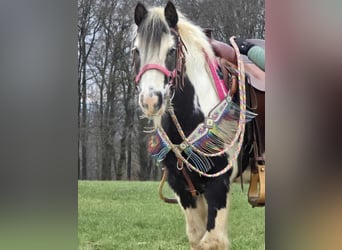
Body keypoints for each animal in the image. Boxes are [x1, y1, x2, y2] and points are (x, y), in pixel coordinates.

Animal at [132, 1, 246, 248]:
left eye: (171, 51)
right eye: (136, 51)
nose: (151, 100)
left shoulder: (218, 184)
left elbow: (212, 241)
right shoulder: (183, 188)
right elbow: (196, 237)